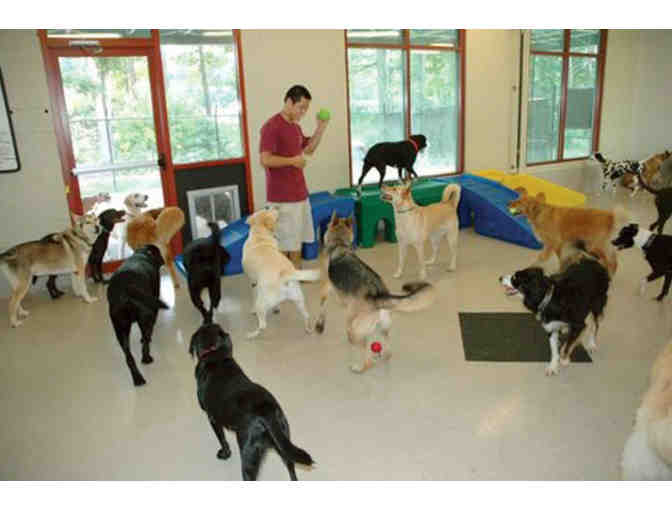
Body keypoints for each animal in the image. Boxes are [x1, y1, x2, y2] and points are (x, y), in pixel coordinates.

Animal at [107, 244, 168, 386]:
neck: (142, 253)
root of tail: (125, 289)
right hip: (146, 316)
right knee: (145, 340)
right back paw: (146, 358)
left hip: (120, 329)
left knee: (129, 357)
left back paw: (138, 378)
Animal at [189, 322, 314, 480]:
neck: (214, 354)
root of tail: (267, 410)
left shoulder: (212, 418)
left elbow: (222, 439)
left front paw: (225, 454)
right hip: (284, 443)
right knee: (292, 470)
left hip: (249, 456)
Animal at [242, 207, 320, 339]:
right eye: (267, 208)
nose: (275, 207)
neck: (260, 235)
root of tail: (285, 275)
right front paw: (277, 308)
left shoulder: (253, 282)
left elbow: (253, 294)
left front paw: (252, 310)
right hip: (299, 300)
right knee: (306, 315)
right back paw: (308, 329)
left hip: (261, 305)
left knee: (262, 325)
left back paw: (252, 334)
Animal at [316, 212, 437, 373]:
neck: (339, 243)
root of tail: (379, 295)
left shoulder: (326, 287)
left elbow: (322, 305)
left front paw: (319, 325)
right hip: (382, 329)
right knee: (388, 351)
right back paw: (382, 356)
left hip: (357, 332)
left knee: (366, 356)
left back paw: (359, 367)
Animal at [499, 246, 610, 376]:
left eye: (515, 278)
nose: (500, 278)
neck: (549, 298)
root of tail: (595, 261)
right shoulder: (551, 327)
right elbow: (554, 349)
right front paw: (553, 366)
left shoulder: (579, 324)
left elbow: (569, 344)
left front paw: (565, 359)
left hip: (597, 303)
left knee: (595, 324)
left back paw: (591, 344)